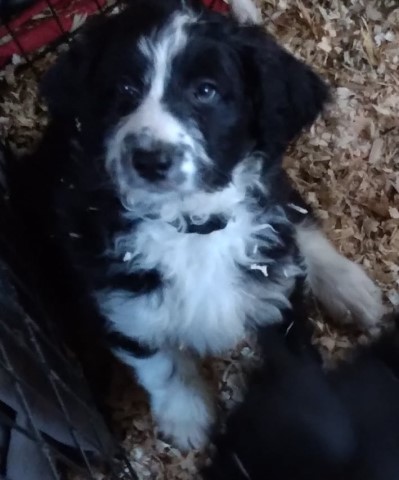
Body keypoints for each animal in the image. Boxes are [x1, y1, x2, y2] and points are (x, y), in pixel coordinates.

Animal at [9, 0, 384, 450]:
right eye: (124, 89)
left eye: (206, 90)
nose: (150, 159)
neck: (191, 226)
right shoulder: (121, 303)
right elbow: (159, 362)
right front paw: (188, 418)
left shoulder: (277, 294)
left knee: (299, 219)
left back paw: (351, 288)